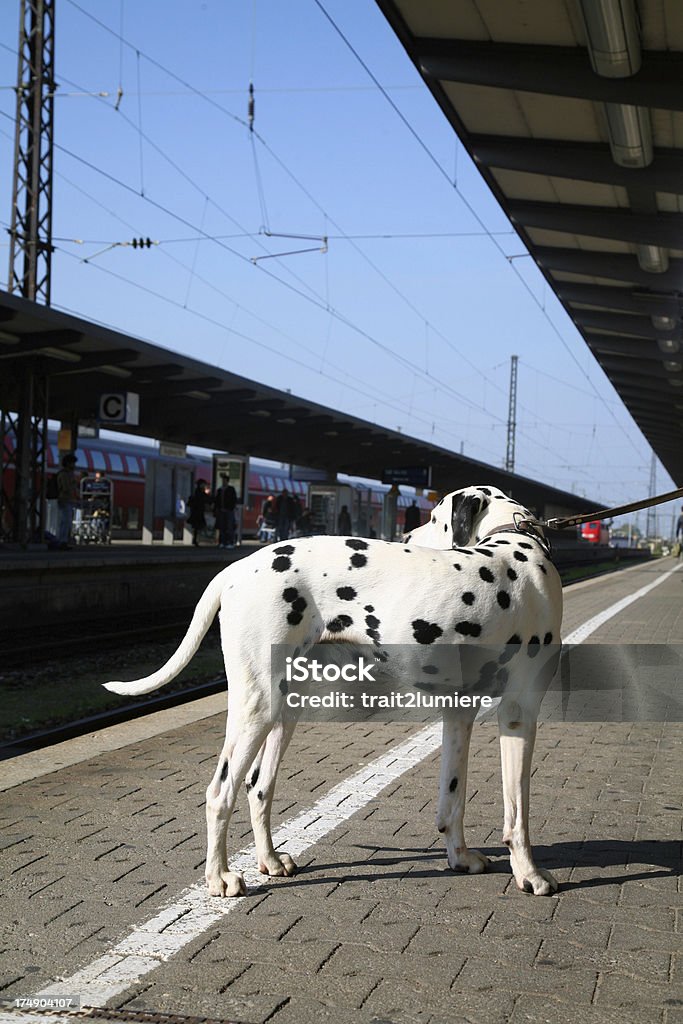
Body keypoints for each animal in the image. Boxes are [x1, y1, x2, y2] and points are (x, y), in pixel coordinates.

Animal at [107, 487, 565, 897]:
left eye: (434, 518)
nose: (406, 537)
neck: (516, 543)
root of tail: (234, 570)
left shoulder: (459, 714)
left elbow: (452, 798)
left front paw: (460, 858)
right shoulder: (518, 715)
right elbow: (518, 812)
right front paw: (530, 874)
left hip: (284, 709)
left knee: (259, 787)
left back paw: (269, 860)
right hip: (257, 708)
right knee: (221, 792)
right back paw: (218, 878)